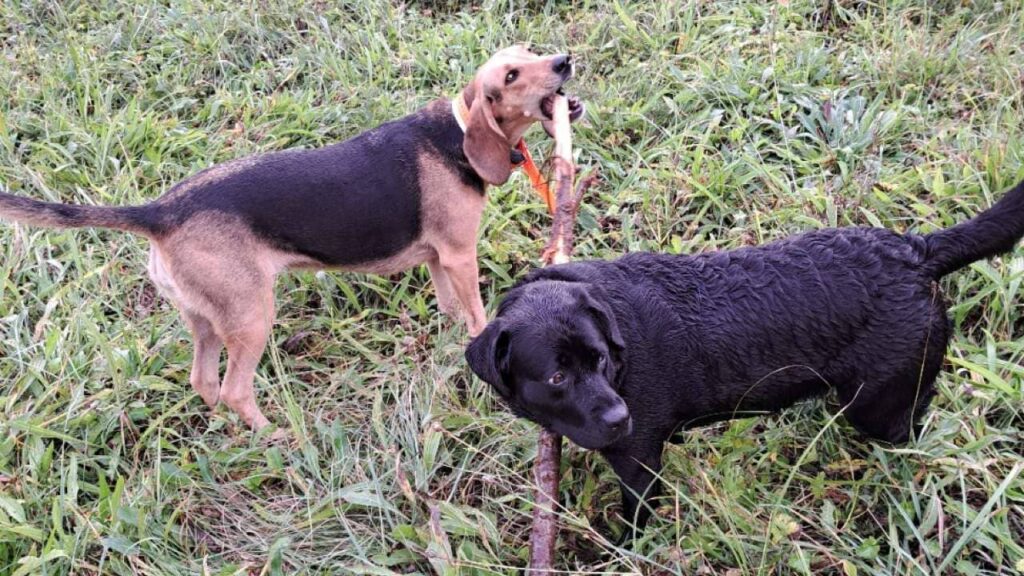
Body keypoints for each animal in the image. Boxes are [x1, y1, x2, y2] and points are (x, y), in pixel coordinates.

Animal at [2, 45, 585, 430]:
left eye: (530, 52)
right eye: (512, 74)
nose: (563, 61)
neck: (460, 132)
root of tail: (161, 211)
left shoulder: (441, 258)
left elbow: (451, 311)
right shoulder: (461, 256)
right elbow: (479, 316)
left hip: (207, 317)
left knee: (205, 382)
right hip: (252, 315)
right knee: (235, 388)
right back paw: (274, 436)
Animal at [466, 179, 1024, 532]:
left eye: (600, 359)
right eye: (557, 377)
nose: (620, 417)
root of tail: (917, 252)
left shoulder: (639, 459)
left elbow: (636, 518)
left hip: (880, 404)